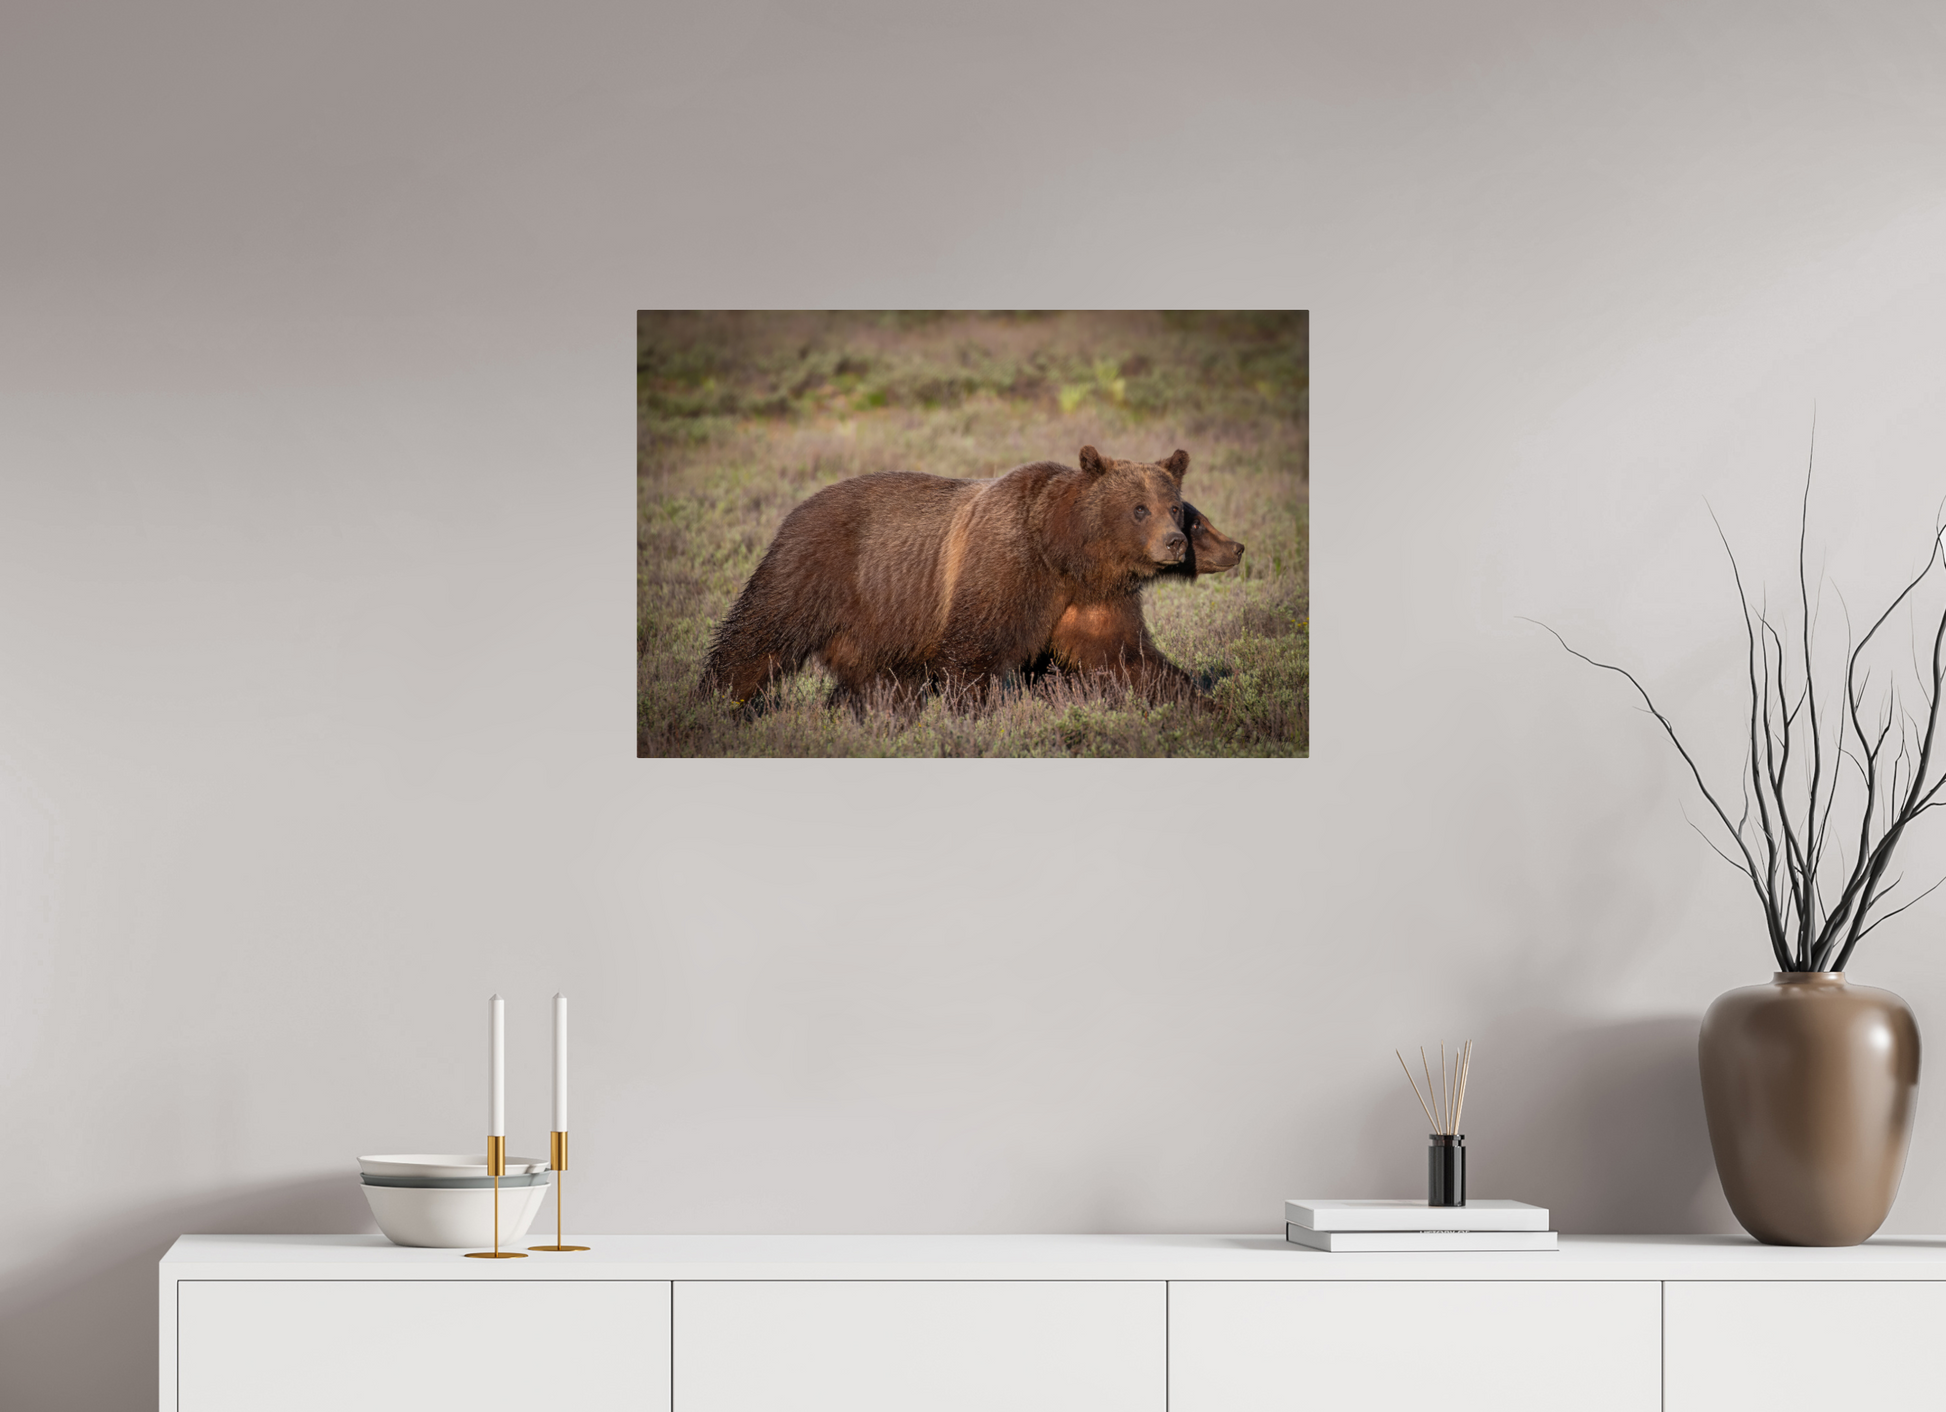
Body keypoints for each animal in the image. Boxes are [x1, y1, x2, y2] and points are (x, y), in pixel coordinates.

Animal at [700, 445, 1191, 708]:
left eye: (1174, 506)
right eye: (1139, 508)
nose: (1175, 542)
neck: (1065, 553)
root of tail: (796, 508)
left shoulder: (1092, 599)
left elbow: (1128, 658)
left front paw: (1192, 698)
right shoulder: (1006, 568)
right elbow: (972, 654)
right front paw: (975, 711)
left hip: (875, 624)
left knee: (877, 681)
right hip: (815, 569)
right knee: (759, 636)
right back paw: (718, 701)